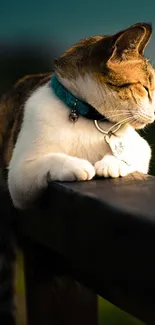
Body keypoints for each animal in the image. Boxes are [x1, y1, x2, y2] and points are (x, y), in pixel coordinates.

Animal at [0, 21, 154, 210]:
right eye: (145, 88)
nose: (154, 115)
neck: (89, 116)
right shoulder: (19, 175)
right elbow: (50, 159)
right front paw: (76, 165)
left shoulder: (142, 147)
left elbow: (134, 154)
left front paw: (111, 163)